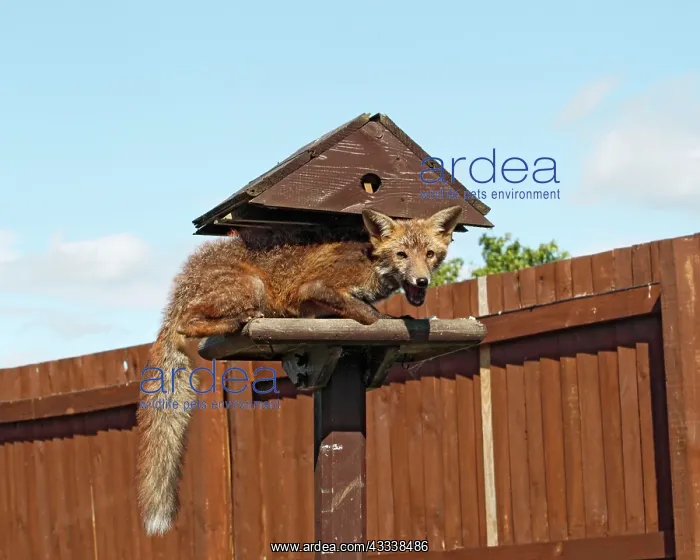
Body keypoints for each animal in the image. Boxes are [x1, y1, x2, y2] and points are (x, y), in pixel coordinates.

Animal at [135, 205, 463, 535]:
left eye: (430, 254)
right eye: (401, 254)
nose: (422, 282)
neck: (371, 262)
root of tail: (184, 278)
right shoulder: (316, 287)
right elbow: (369, 313)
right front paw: (388, 321)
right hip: (251, 288)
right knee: (187, 323)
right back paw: (239, 320)